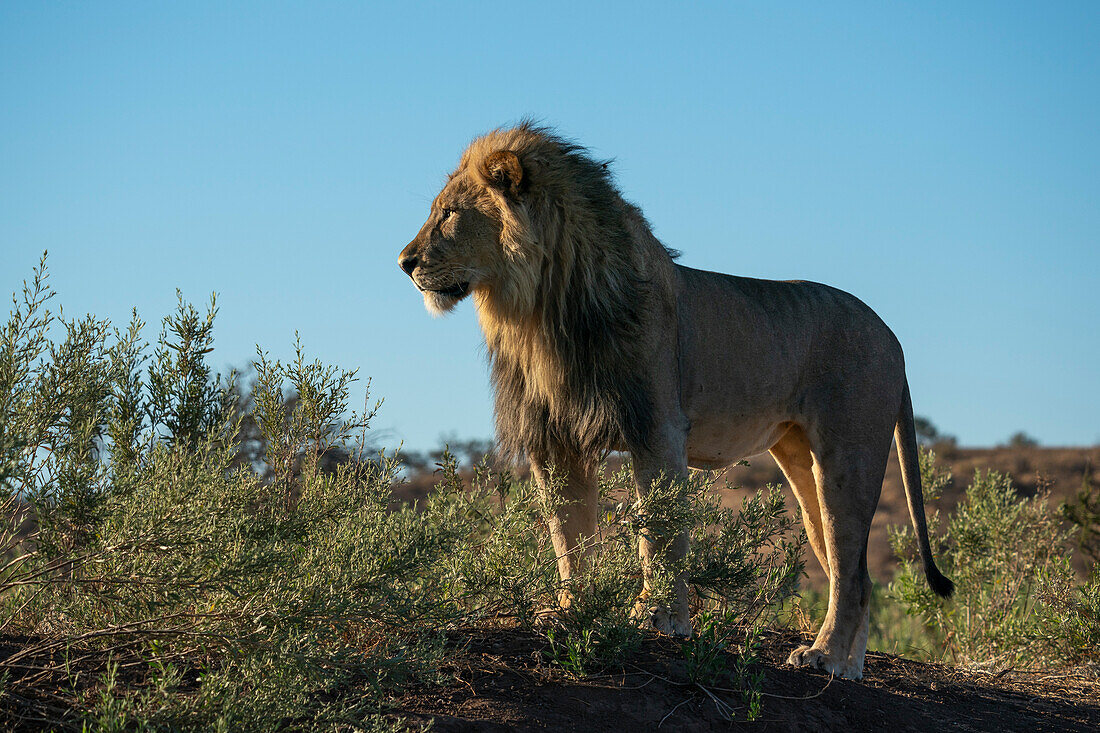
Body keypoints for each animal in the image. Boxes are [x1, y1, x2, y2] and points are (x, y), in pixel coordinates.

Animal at [398, 121, 954, 677]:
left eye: (449, 214)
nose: (404, 262)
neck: (541, 312)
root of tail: (891, 336)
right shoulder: (555, 440)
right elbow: (568, 536)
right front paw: (572, 611)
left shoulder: (656, 426)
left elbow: (660, 532)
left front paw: (659, 618)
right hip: (802, 462)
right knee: (854, 574)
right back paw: (847, 668)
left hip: (847, 455)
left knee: (851, 570)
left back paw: (822, 656)